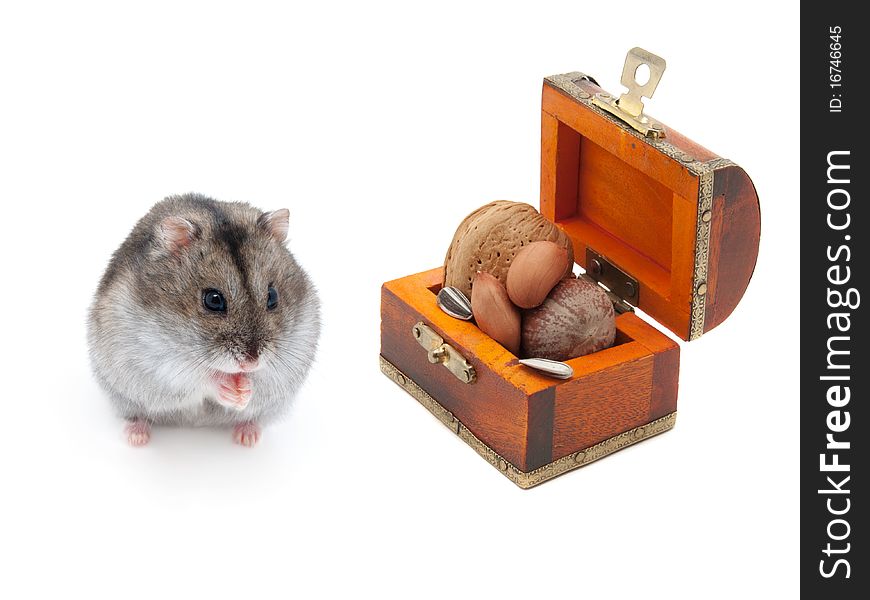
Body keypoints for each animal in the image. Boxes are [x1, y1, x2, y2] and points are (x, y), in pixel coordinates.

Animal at [86, 192, 320, 446]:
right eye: (213, 300)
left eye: (273, 296)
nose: (251, 362)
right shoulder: (158, 361)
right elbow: (203, 377)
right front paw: (230, 388)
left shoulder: (292, 356)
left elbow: (259, 381)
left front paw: (243, 393)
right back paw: (137, 437)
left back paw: (247, 437)